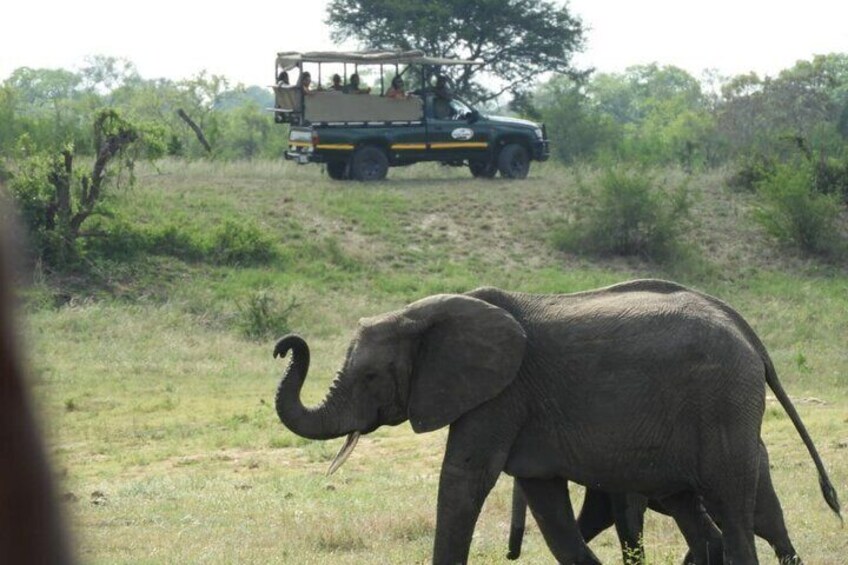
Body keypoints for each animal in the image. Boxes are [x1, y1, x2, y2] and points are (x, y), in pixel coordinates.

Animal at [273, 279, 841, 564]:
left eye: (369, 376)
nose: (284, 345)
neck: (427, 314)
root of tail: (751, 340)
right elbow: (548, 504)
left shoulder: (500, 395)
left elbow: (464, 479)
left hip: (723, 407)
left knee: (736, 511)